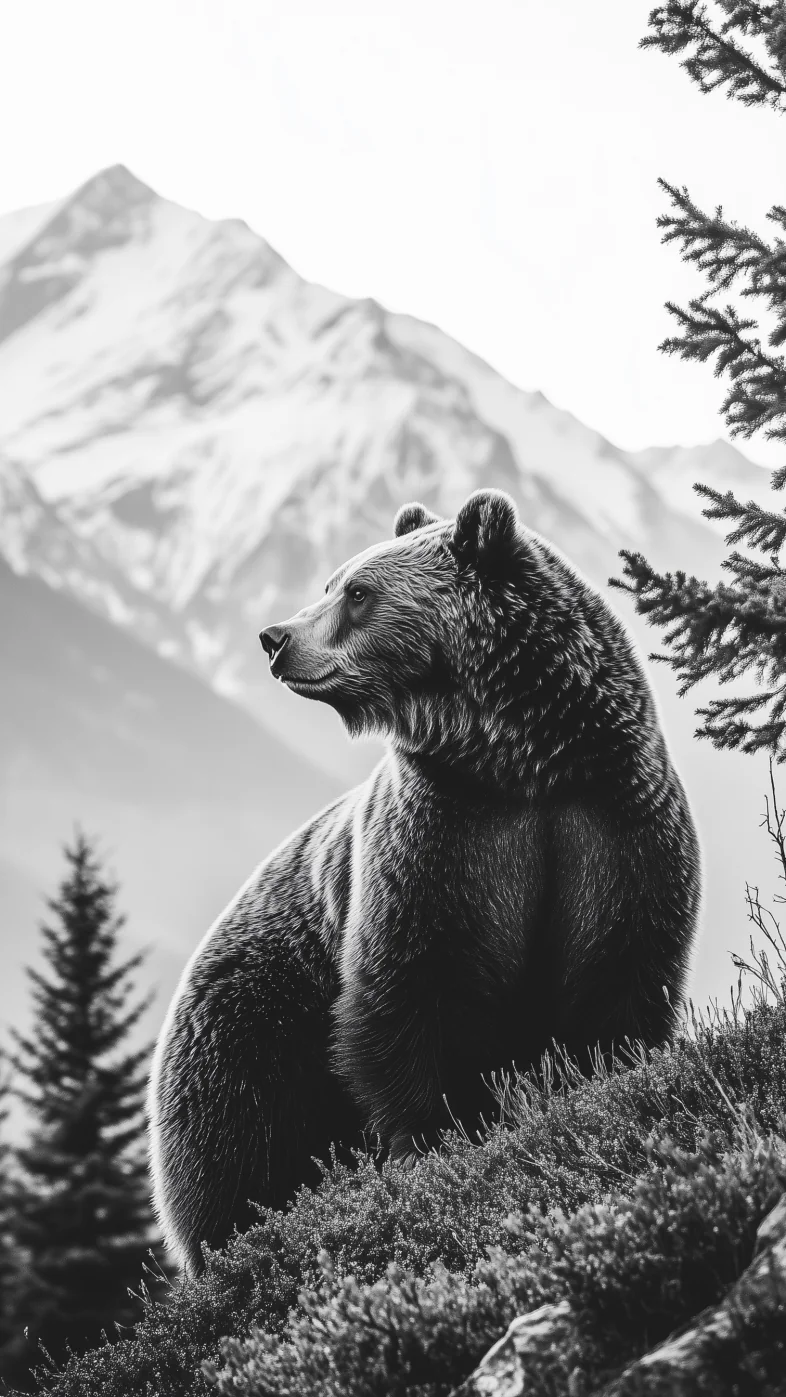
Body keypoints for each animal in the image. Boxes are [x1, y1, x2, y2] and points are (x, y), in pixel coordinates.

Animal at [148, 488, 701, 1275]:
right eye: (333, 581)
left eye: (356, 591)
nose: (275, 637)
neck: (520, 759)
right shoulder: (437, 840)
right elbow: (406, 992)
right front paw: (428, 1144)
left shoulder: (611, 818)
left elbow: (618, 971)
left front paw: (608, 1076)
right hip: (251, 1031)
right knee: (234, 1155)